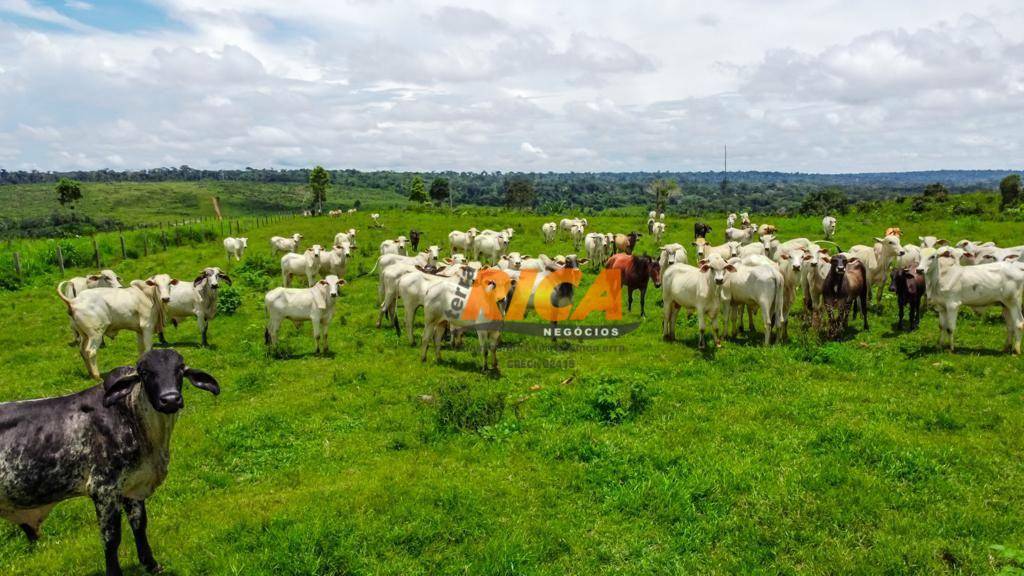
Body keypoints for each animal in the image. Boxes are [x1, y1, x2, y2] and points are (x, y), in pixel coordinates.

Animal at [0, 344, 216, 573]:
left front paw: (150, 564)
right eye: (145, 372)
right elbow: (111, 539)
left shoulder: (132, 485)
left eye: (180, 369)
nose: (170, 399)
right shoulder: (104, 489)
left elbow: (139, 524)